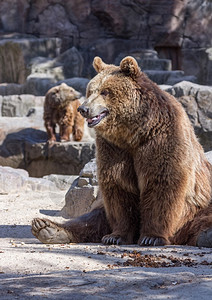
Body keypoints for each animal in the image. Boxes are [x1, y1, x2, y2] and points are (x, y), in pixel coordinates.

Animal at [31, 56, 212, 248]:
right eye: (91, 90)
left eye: (105, 91)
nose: (83, 109)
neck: (133, 133)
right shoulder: (114, 148)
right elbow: (119, 187)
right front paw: (116, 236)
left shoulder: (162, 139)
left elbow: (162, 183)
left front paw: (151, 237)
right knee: (93, 218)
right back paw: (47, 228)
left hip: (201, 203)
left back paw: (207, 234)